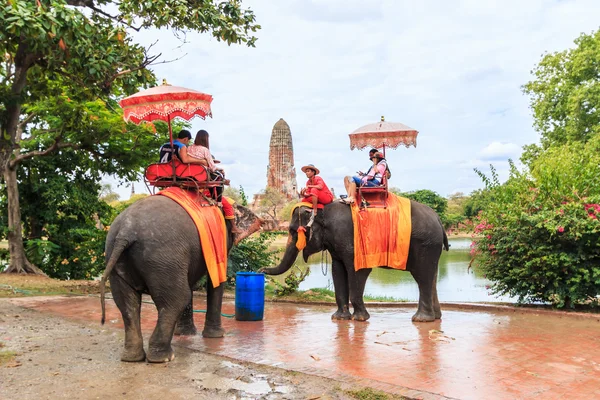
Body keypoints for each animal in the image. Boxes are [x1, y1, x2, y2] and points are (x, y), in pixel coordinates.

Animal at [99, 195, 262, 364]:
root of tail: (125, 232)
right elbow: (215, 278)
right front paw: (217, 335)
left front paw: (186, 333)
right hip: (164, 258)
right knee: (177, 299)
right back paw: (163, 358)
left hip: (116, 255)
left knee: (127, 302)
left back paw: (132, 358)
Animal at [260, 200, 448, 322]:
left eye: (293, 231)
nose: (261, 270)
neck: (321, 210)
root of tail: (438, 219)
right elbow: (337, 270)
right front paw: (339, 318)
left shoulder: (350, 241)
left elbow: (358, 272)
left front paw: (360, 319)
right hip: (432, 246)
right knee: (431, 277)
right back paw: (435, 317)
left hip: (425, 244)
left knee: (422, 277)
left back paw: (421, 319)